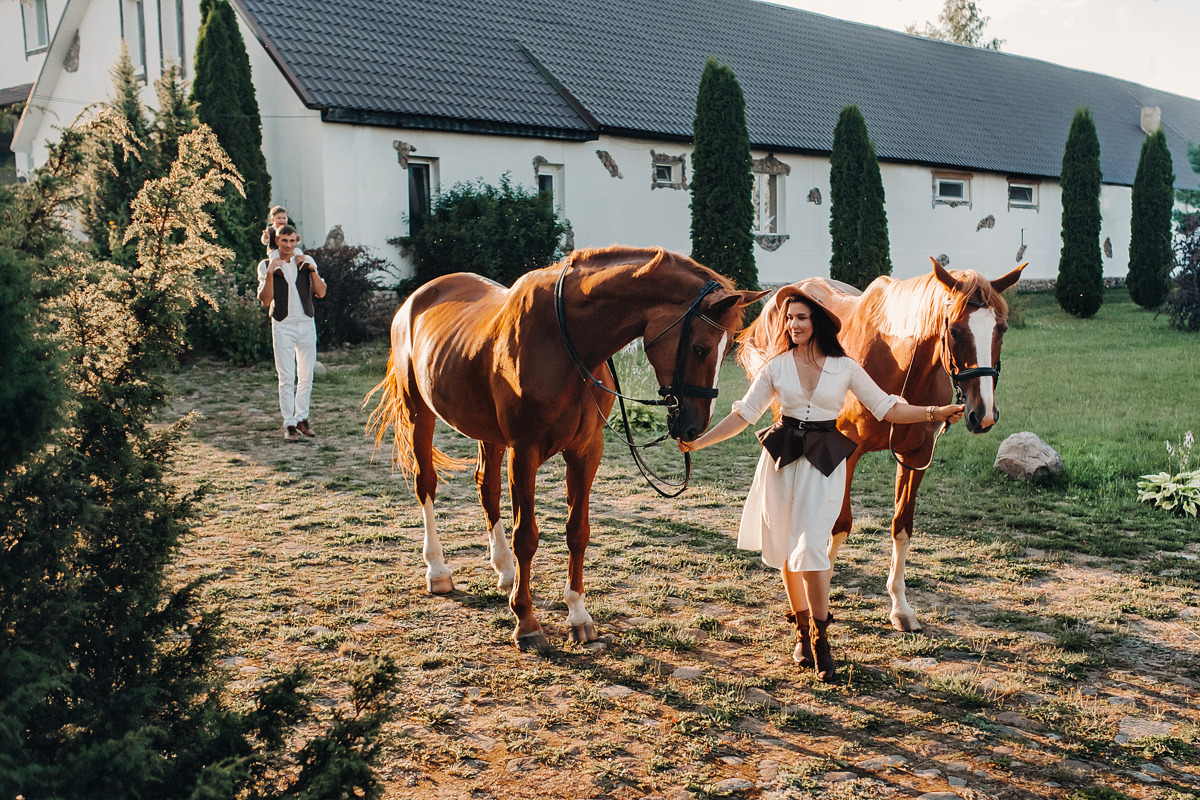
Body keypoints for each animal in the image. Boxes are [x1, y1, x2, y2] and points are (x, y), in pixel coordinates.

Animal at [364, 248, 763, 652]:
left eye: (726, 351)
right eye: (699, 348)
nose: (693, 426)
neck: (563, 343)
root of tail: (418, 298)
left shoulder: (586, 451)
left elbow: (577, 531)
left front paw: (578, 615)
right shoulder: (524, 452)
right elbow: (527, 536)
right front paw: (526, 621)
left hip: (488, 433)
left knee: (486, 488)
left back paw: (505, 570)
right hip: (419, 412)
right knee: (426, 484)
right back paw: (438, 569)